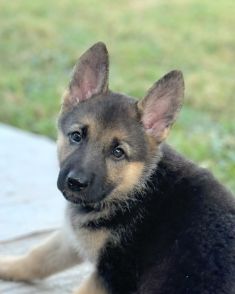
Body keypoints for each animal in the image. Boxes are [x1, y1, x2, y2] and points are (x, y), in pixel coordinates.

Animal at [0, 42, 235, 292]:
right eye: (76, 136)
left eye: (118, 152)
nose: (75, 183)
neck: (137, 189)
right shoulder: (74, 237)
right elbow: (37, 257)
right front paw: (7, 265)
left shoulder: (111, 275)